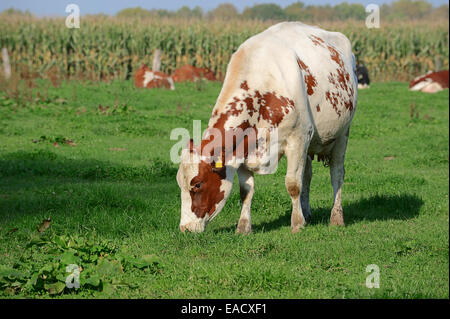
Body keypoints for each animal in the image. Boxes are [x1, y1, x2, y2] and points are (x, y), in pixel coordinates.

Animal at [177, 21, 358, 234]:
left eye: (197, 184)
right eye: (180, 184)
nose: (185, 228)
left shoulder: (298, 139)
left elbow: (293, 184)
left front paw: (296, 224)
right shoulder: (243, 149)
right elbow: (246, 191)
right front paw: (243, 227)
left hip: (342, 134)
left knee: (337, 174)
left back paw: (336, 217)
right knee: (307, 175)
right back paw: (307, 212)